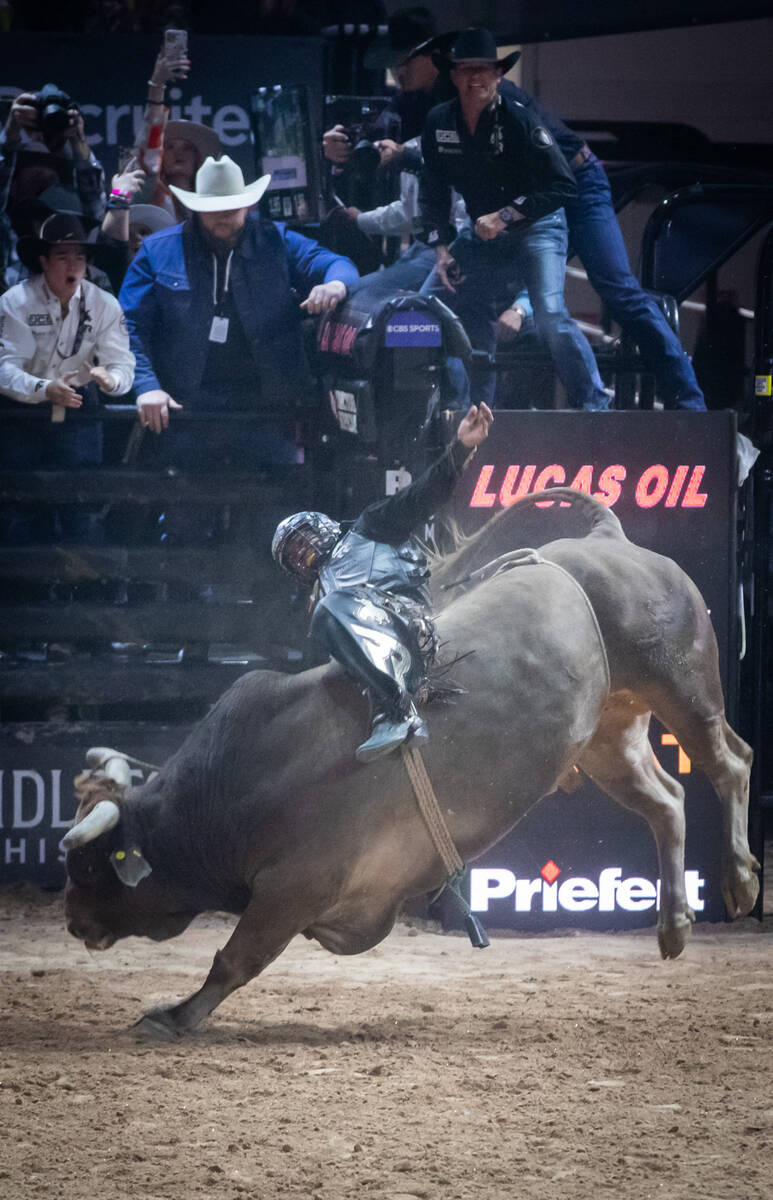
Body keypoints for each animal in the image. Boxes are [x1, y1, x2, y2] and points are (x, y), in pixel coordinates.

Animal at [64, 489, 753, 1041]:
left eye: (92, 866)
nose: (72, 923)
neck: (228, 789)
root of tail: (607, 541)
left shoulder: (295, 886)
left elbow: (236, 960)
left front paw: (171, 1018)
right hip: (609, 736)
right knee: (666, 801)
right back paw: (674, 925)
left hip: (684, 685)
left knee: (731, 764)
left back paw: (741, 880)